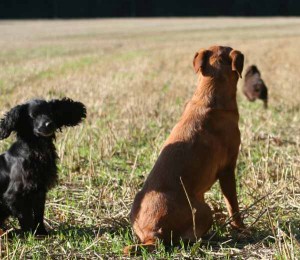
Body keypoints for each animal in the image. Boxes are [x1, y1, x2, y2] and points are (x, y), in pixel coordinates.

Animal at [0, 98, 86, 236]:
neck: (37, 150)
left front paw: (41, 232)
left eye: (50, 112)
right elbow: (26, 217)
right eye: (33, 115)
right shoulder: (13, 197)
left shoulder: (40, 192)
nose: (49, 124)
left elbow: (39, 215)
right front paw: (30, 235)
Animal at [125, 45, 245, 254]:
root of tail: (152, 236)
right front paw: (241, 228)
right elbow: (233, 204)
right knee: (190, 239)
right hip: (204, 209)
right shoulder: (228, 169)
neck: (209, 96)